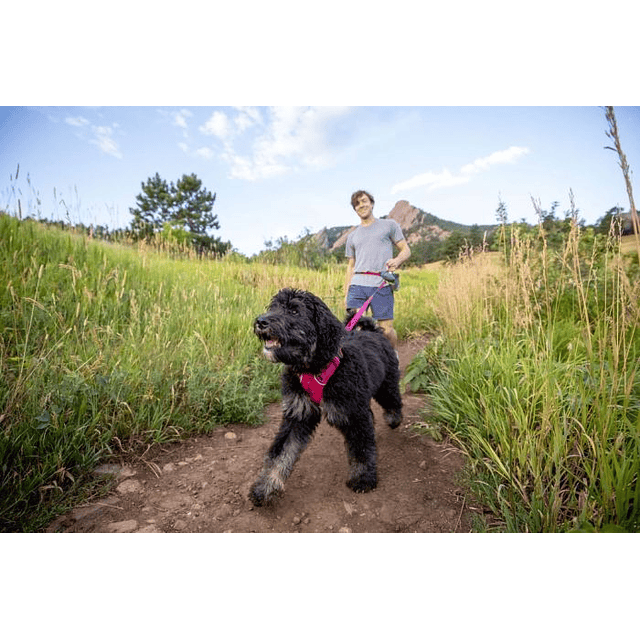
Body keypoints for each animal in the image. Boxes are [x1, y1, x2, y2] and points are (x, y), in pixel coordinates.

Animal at [249, 288, 402, 504]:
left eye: (294, 311)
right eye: (274, 307)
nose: (261, 321)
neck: (315, 369)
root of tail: (373, 332)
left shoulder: (355, 413)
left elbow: (362, 448)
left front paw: (364, 478)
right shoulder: (298, 413)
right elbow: (279, 453)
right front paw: (265, 486)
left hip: (386, 385)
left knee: (393, 400)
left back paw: (394, 418)